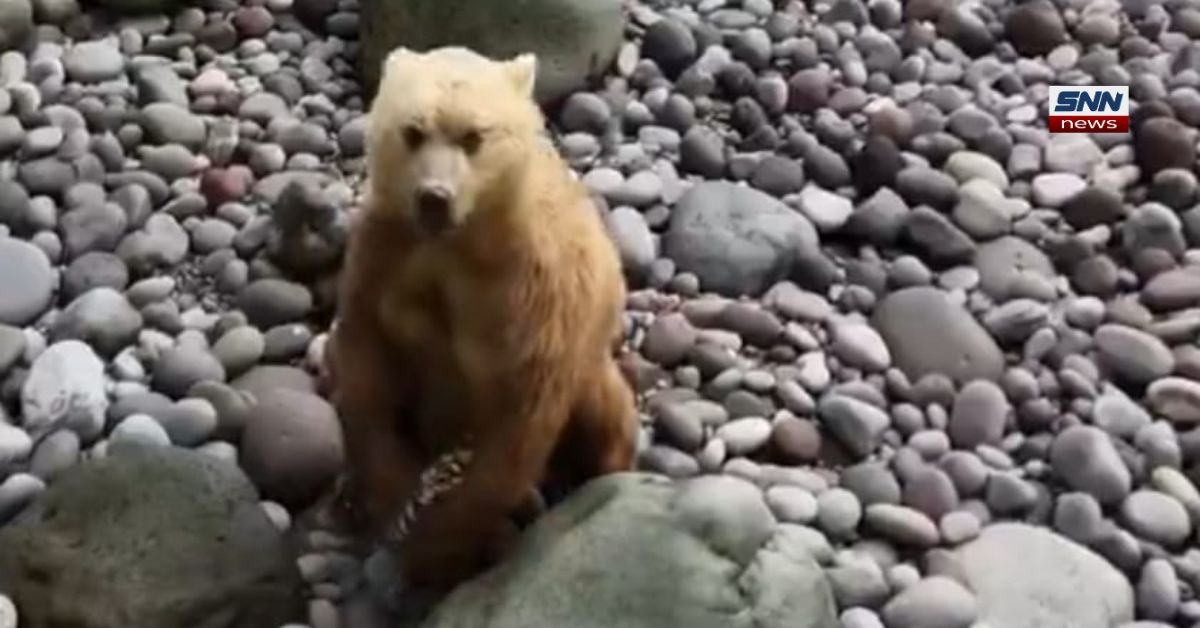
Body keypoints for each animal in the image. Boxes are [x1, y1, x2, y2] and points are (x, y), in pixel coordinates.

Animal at [325, 45, 639, 593]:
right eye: (413, 130)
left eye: (474, 135)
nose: (434, 196)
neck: (459, 243)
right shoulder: (386, 254)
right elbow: (369, 365)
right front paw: (394, 497)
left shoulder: (529, 294)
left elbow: (518, 421)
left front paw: (436, 550)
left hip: (593, 361)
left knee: (608, 411)